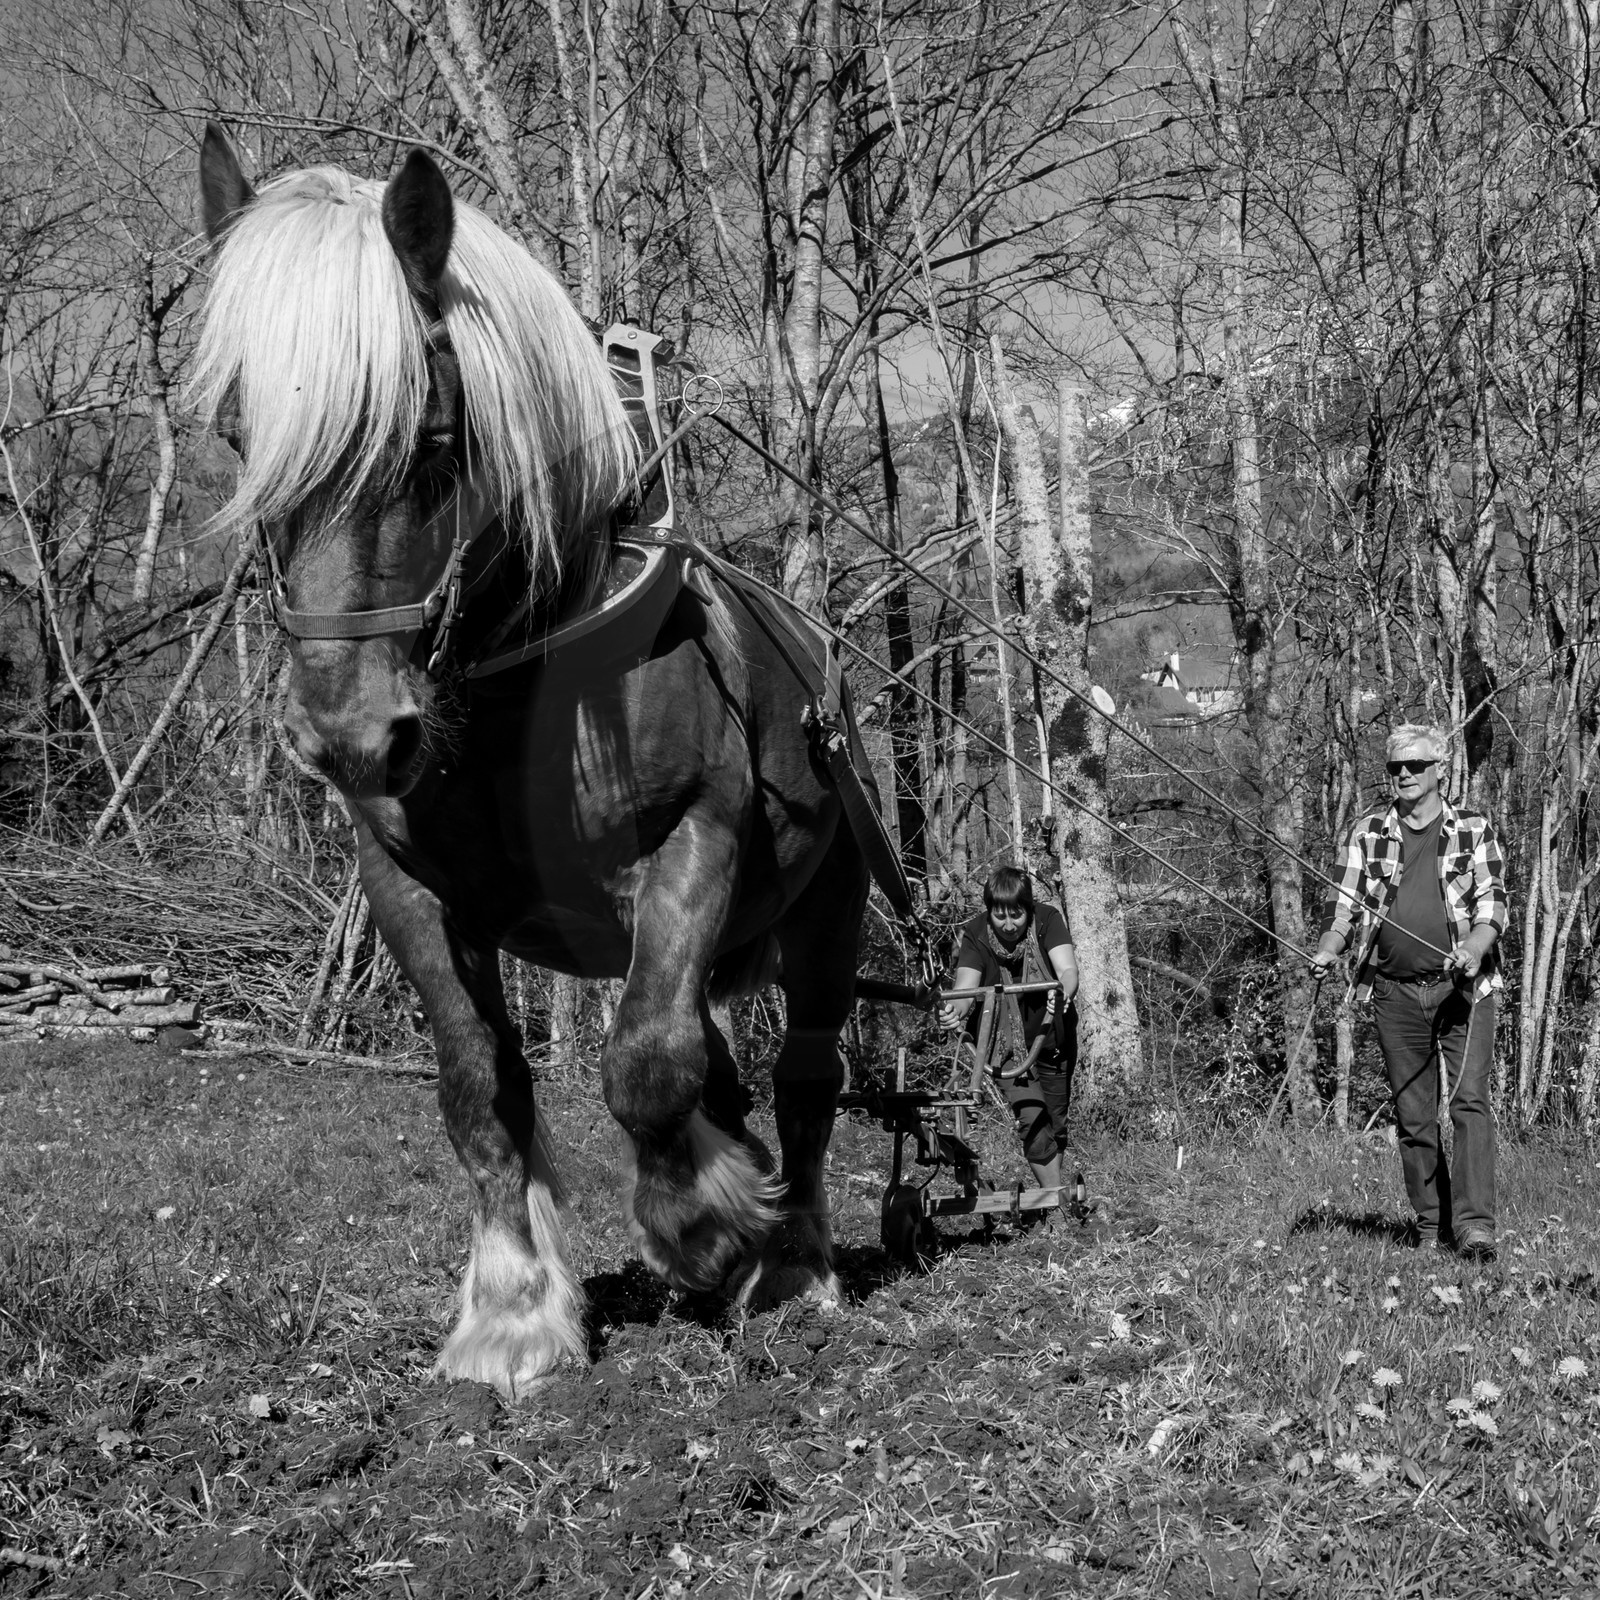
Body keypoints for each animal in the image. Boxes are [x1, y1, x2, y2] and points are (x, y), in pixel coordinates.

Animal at [192, 127, 873, 1396]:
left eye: (431, 440)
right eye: (237, 436)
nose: (348, 738)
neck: (523, 687)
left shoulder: (696, 837)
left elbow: (645, 1061)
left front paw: (705, 1226)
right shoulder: (408, 886)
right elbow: (480, 1081)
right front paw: (512, 1306)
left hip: (830, 901)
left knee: (805, 1074)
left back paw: (793, 1254)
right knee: (720, 1061)